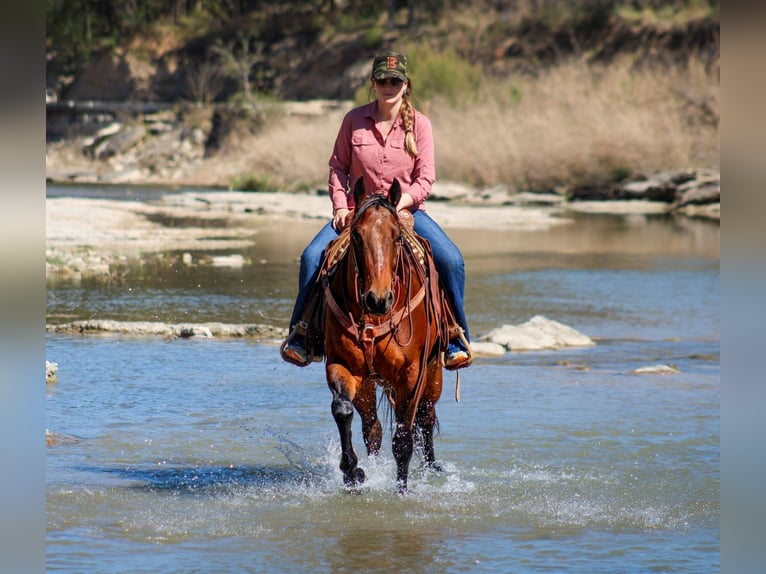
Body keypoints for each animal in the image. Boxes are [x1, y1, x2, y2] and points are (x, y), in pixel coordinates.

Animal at [320, 178, 447, 493]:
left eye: (397, 237)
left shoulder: (412, 375)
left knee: (426, 419)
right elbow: (342, 410)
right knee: (372, 428)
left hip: (433, 373)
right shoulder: (342, 365)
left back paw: (431, 468)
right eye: (356, 236)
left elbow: (403, 438)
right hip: (368, 382)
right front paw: (353, 473)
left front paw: (402, 490)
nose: (378, 299)